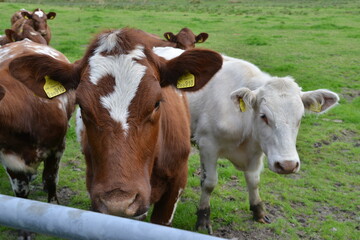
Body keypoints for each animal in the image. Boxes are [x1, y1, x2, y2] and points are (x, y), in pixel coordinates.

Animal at [153, 46, 338, 233]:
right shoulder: (207, 145)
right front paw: (203, 218)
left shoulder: (257, 151)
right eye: (264, 116)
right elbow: (209, 182)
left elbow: (253, 181)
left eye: (300, 118)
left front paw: (258, 211)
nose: (287, 165)